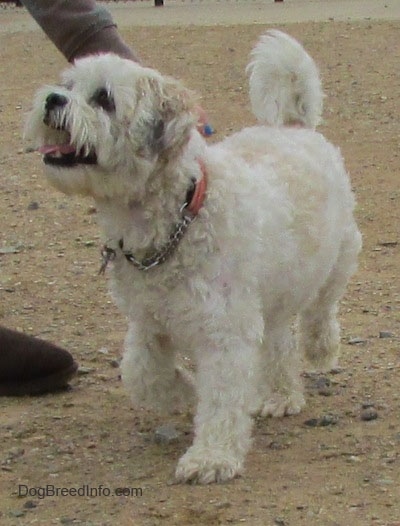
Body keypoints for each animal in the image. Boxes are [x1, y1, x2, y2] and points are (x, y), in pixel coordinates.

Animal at [26, 31, 360, 484]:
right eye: (69, 84)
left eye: (104, 98)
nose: (52, 99)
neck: (179, 217)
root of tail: (293, 126)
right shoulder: (148, 320)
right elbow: (140, 372)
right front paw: (183, 390)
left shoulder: (224, 333)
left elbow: (220, 399)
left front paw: (211, 456)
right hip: (269, 297)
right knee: (278, 342)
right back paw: (279, 395)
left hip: (337, 256)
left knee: (321, 310)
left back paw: (321, 347)